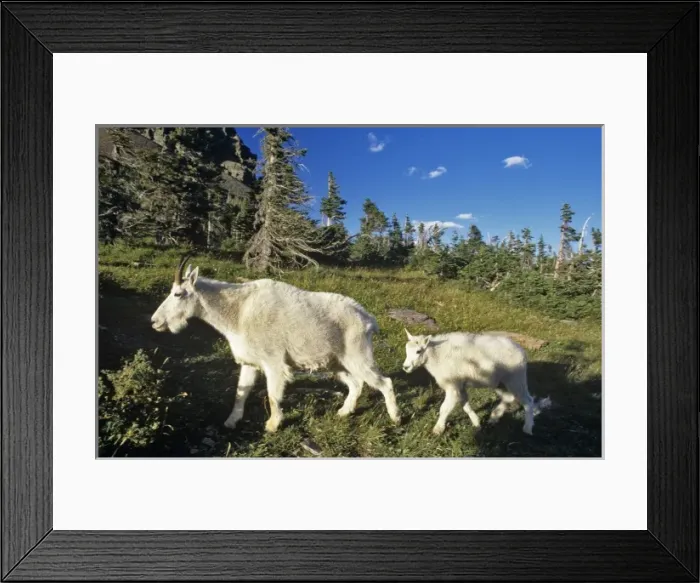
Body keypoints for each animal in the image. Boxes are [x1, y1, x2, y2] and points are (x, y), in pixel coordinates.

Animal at [151, 255, 401, 433]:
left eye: (178, 293)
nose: (155, 321)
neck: (238, 313)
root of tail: (369, 319)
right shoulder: (249, 362)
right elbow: (241, 392)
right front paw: (231, 421)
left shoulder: (273, 362)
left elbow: (272, 394)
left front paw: (272, 425)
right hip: (336, 363)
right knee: (356, 383)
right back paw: (343, 412)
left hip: (358, 356)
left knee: (384, 382)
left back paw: (396, 417)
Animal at [402, 329, 551, 436]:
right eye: (406, 350)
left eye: (418, 351)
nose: (406, 367)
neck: (437, 356)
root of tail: (522, 352)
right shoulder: (460, 385)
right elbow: (465, 405)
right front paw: (477, 423)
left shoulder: (452, 385)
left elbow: (444, 408)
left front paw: (437, 429)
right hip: (500, 382)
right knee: (509, 397)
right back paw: (494, 417)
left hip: (516, 378)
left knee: (528, 401)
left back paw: (527, 428)